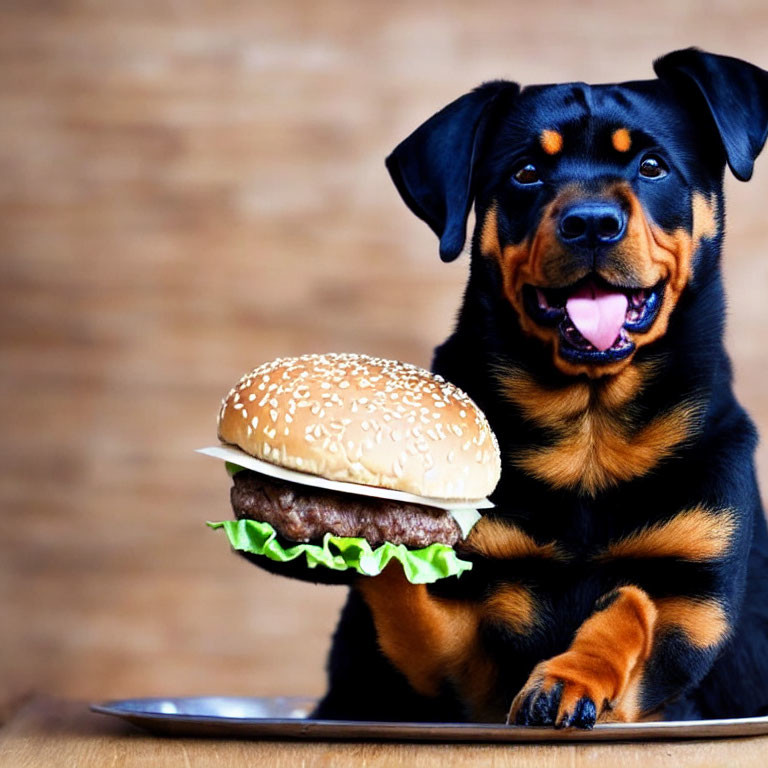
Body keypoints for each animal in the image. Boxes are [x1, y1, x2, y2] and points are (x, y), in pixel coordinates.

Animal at [310, 48, 768, 728]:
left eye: (651, 166)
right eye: (526, 173)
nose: (592, 223)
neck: (590, 431)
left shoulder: (691, 612)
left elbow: (628, 615)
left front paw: (572, 675)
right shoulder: (460, 667)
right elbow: (409, 598)